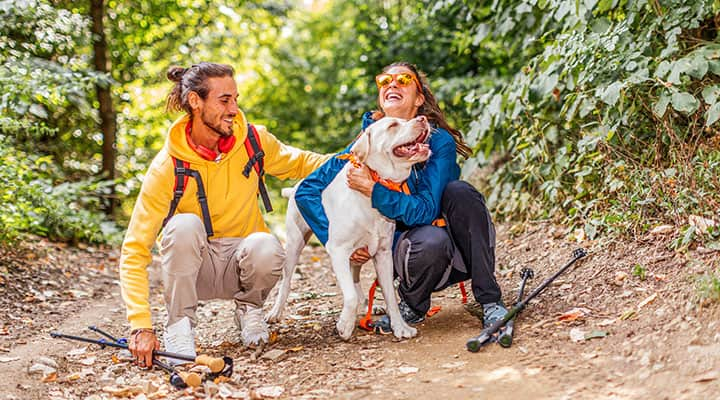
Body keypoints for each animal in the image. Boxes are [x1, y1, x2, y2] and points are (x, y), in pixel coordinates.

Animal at [266, 115, 430, 340]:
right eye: (393, 125)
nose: (423, 118)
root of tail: (294, 188)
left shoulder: (383, 253)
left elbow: (389, 294)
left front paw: (400, 327)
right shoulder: (338, 250)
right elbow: (350, 296)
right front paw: (345, 325)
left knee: (355, 278)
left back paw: (368, 304)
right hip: (294, 243)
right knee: (286, 281)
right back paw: (275, 312)